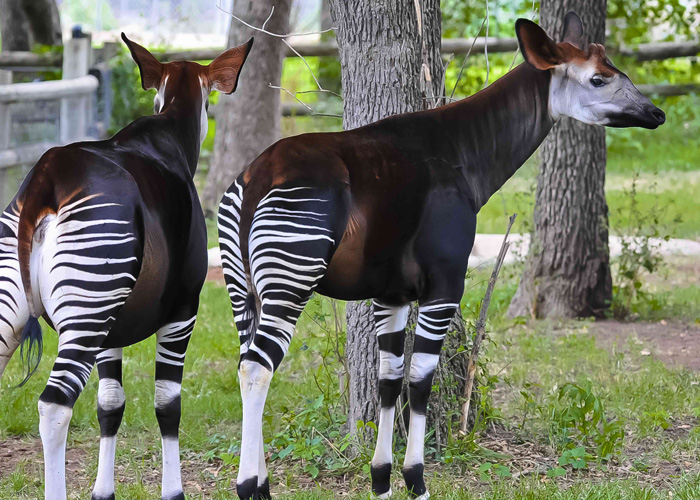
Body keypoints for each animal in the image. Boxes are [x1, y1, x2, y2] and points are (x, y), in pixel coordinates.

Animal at [0, 34, 253, 500]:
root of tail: (46, 178)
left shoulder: (111, 329)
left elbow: (110, 404)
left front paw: (103, 492)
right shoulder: (183, 309)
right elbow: (168, 404)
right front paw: (173, 491)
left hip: (34, 309)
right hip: (85, 311)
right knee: (54, 406)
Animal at [218, 13, 664, 500]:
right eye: (599, 79)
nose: (656, 113)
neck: (463, 152)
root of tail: (257, 177)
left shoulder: (390, 295)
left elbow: (389, 379)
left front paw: (381, 480)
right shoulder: (446, 285)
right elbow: (420, 381)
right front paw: (416, 479)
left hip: (244, 287)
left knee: (245, 361)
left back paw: (261, 484)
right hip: (290, 280)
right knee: (257, 369)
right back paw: (248, 485)